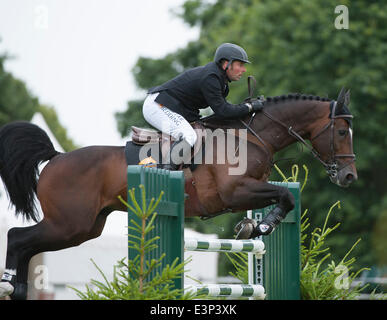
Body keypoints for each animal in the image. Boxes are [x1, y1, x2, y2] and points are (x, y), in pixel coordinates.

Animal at [0, 88, 358, 300]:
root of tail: (56, 157)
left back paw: (16, 289)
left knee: (27, 245)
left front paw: (252, 226)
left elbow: (282, 198)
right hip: (69, 224)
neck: (251, 138)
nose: (349, 176)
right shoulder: (235, 192)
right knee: (17, 237)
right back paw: (9, 285)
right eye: (342, 131)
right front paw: (262, 226)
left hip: (83, 228)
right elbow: (285, 197)